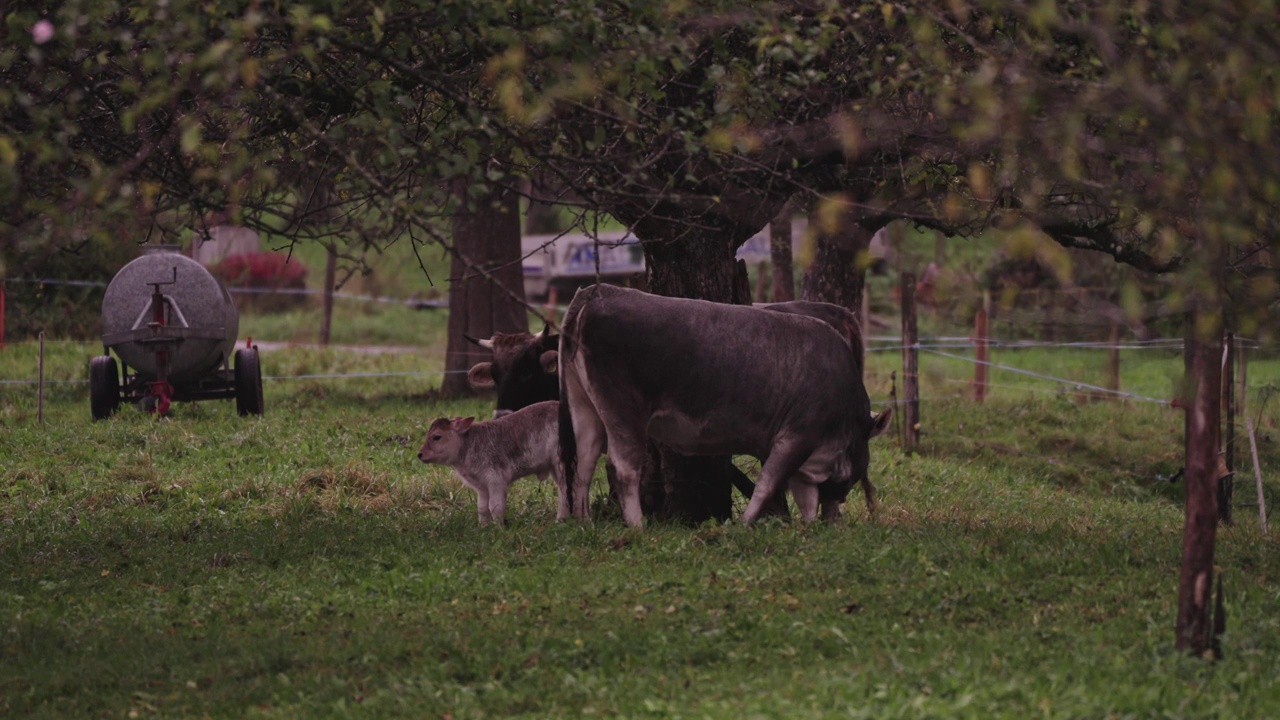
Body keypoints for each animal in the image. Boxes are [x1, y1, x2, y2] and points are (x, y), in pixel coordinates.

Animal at [414, 397, 565, 520]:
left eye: (437, 437)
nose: (420, 454)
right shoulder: (481, 487)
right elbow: (482, 508)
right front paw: (483, 527)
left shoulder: (496, 480)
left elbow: (496, 507)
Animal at [555, 283, 896, 525]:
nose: (834, 517)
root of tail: (597, 291)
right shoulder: (797, 436)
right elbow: (768, 483)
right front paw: (746, 524)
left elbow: (804, 498)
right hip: (624, 409)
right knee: (622, 466)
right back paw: (638, 526)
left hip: (585, 405)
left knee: (582, 461)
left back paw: (584, 522)